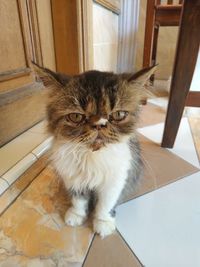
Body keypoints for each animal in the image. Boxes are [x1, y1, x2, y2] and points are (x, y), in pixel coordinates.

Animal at [32, 63, 156, 239]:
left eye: (118, 114)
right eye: (76, 117)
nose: (99, 124)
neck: (91, 156)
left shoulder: (114, 181)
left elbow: (105, 205)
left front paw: (103, 224)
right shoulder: (74, 178)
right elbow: (78, 201)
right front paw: (76, 216)